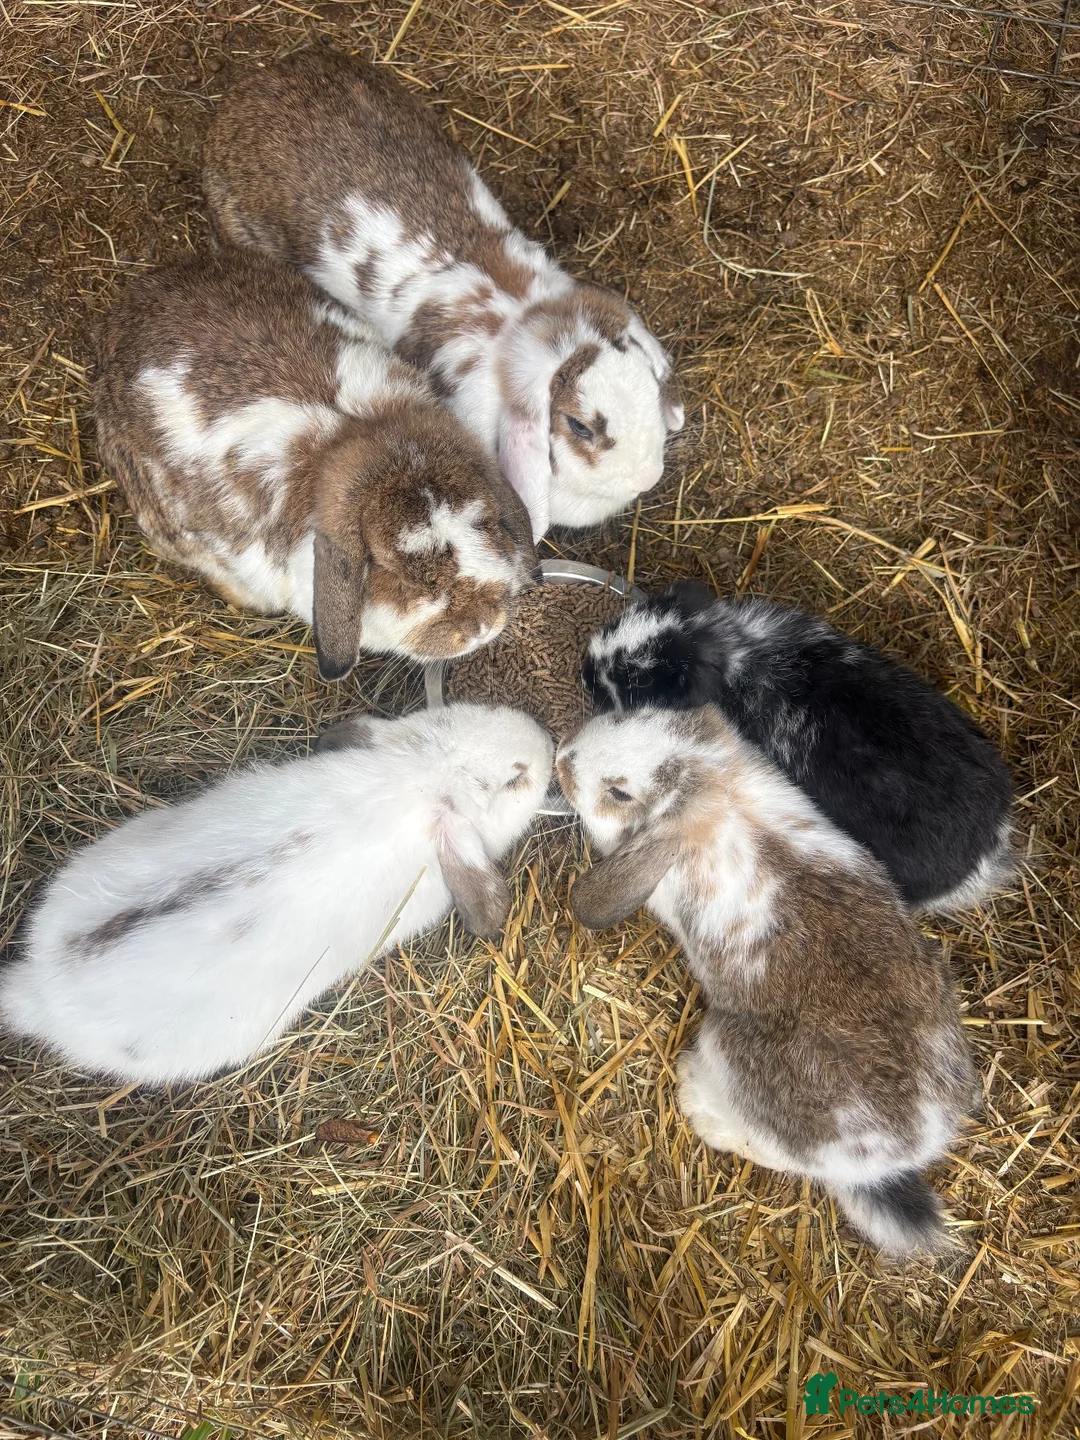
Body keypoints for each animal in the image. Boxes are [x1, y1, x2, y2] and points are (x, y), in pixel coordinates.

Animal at [557, 706, 977, 1255]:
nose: (563, 759)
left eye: (620, 792)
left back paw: (696, 1097)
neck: (717, 791)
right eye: (635, 712)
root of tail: (901, 1155)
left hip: (730, 1050)